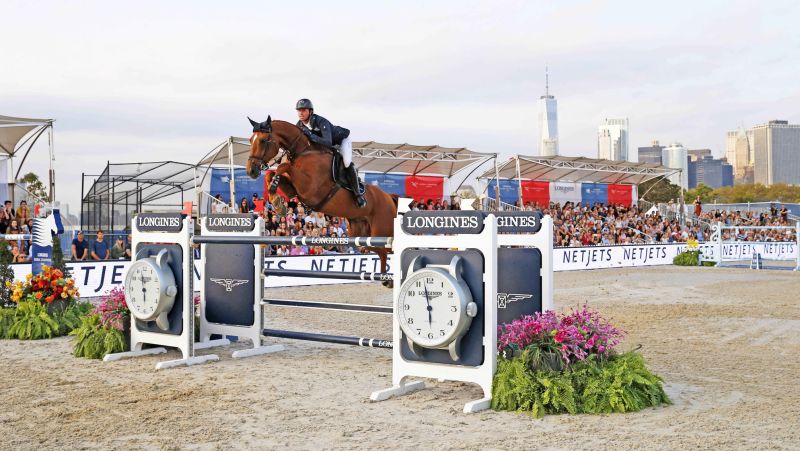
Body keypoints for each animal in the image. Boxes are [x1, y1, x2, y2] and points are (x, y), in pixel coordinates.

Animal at [244, 115, 394, 286]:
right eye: (250, 140)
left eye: (263, 140)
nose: (251, 171)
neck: (303, 152)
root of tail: (389, 197)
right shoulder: (295, 188)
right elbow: (273, 174)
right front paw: (277, 202)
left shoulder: (310, 188)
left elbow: (283, 167)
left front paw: (276, 196)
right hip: (359, 233)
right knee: (379, 251)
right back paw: (386, 280)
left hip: (381, 229)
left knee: (386, 249)